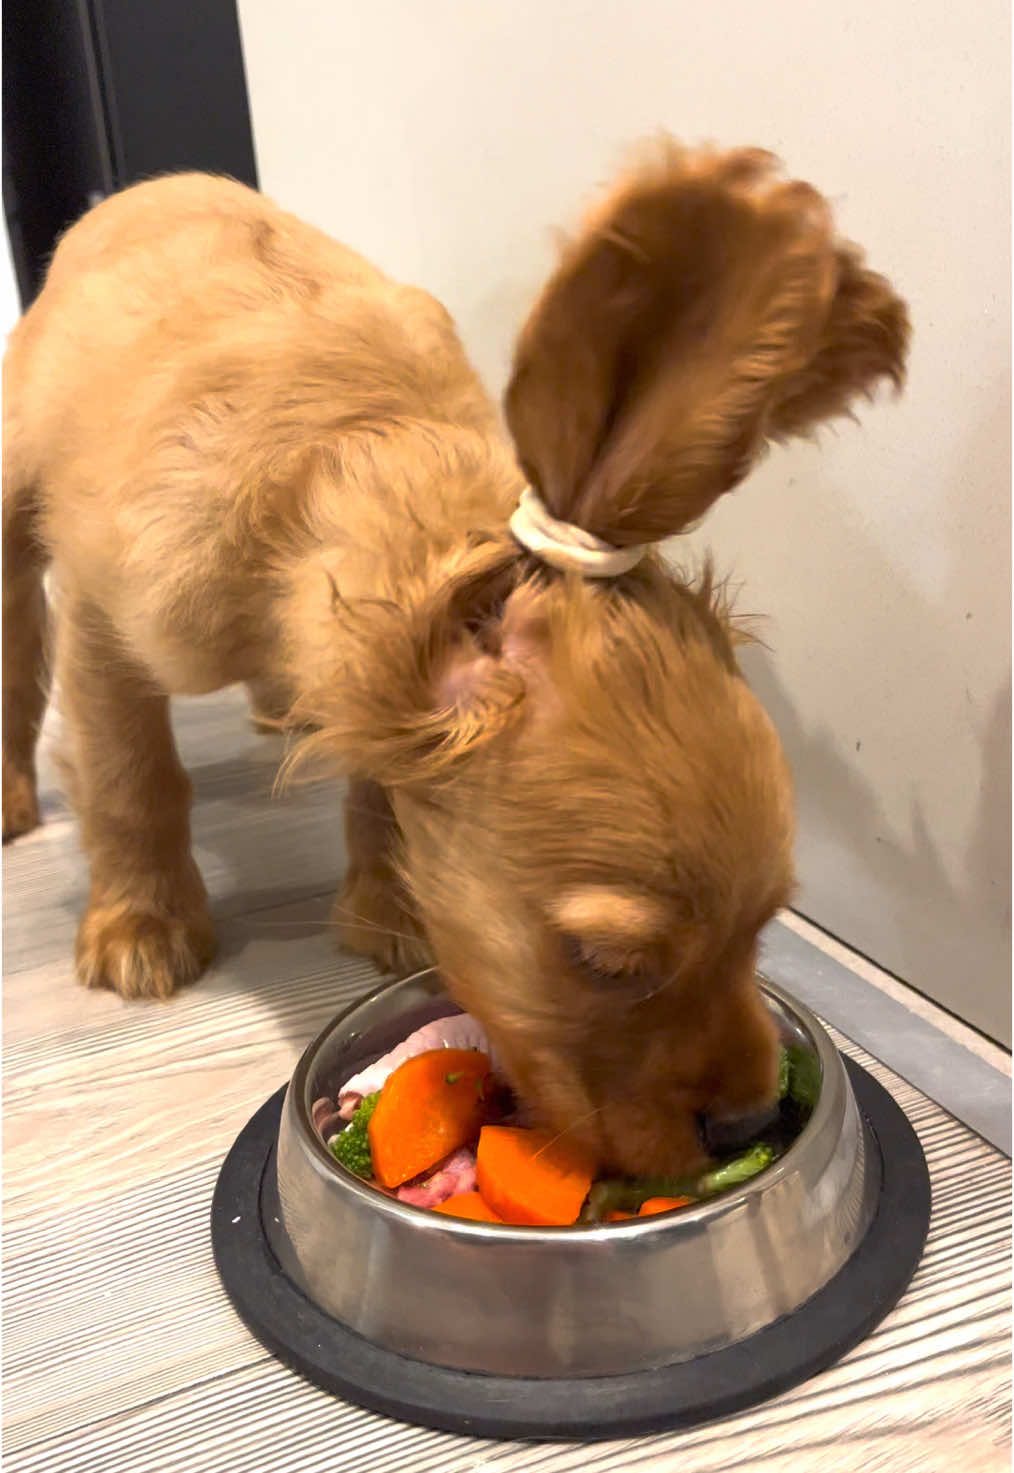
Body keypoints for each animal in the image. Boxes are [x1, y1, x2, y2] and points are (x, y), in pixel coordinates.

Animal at [0, 138, 901, 1172]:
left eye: (763, 928)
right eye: (606, 963)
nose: (749, 1127)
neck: (348, 446)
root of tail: (148, 188)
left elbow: (376, 784)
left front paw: (386, 906)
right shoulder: (105, 623)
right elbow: (130, 776)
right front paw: (142, 918)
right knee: (16, 646)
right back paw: (14, 800)